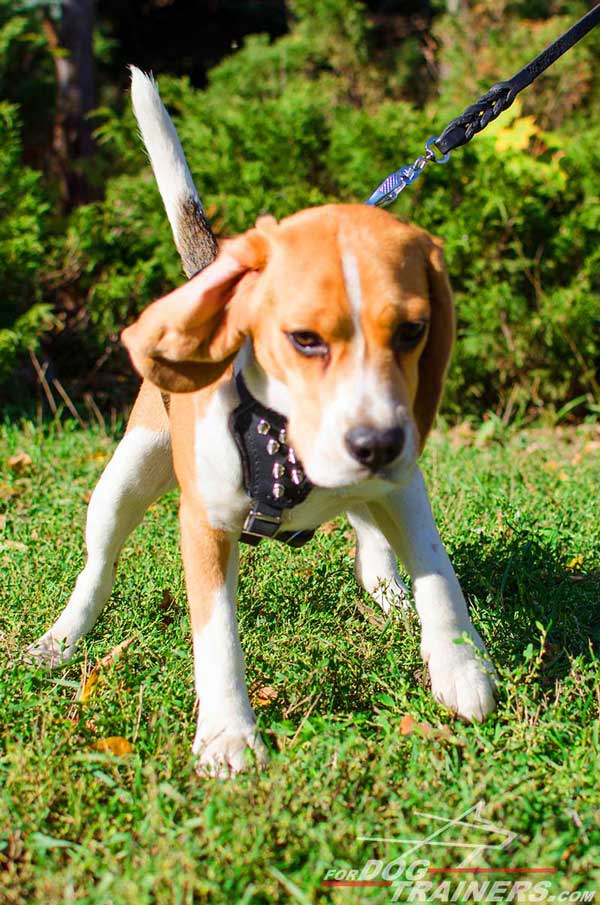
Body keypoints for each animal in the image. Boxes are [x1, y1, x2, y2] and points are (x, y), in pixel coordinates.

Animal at [28, 67, 496, 772]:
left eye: (413, 332)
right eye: (304, 339)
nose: (377, 443)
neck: (287, 446)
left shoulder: (403, 485)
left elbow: (440, 573)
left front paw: (461, 666)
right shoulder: (204, 523)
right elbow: (216, 634)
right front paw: (227, 734)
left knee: (369, 531)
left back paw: (386, 588)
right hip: (125, 476)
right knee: (98, 568)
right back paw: (62, 638)